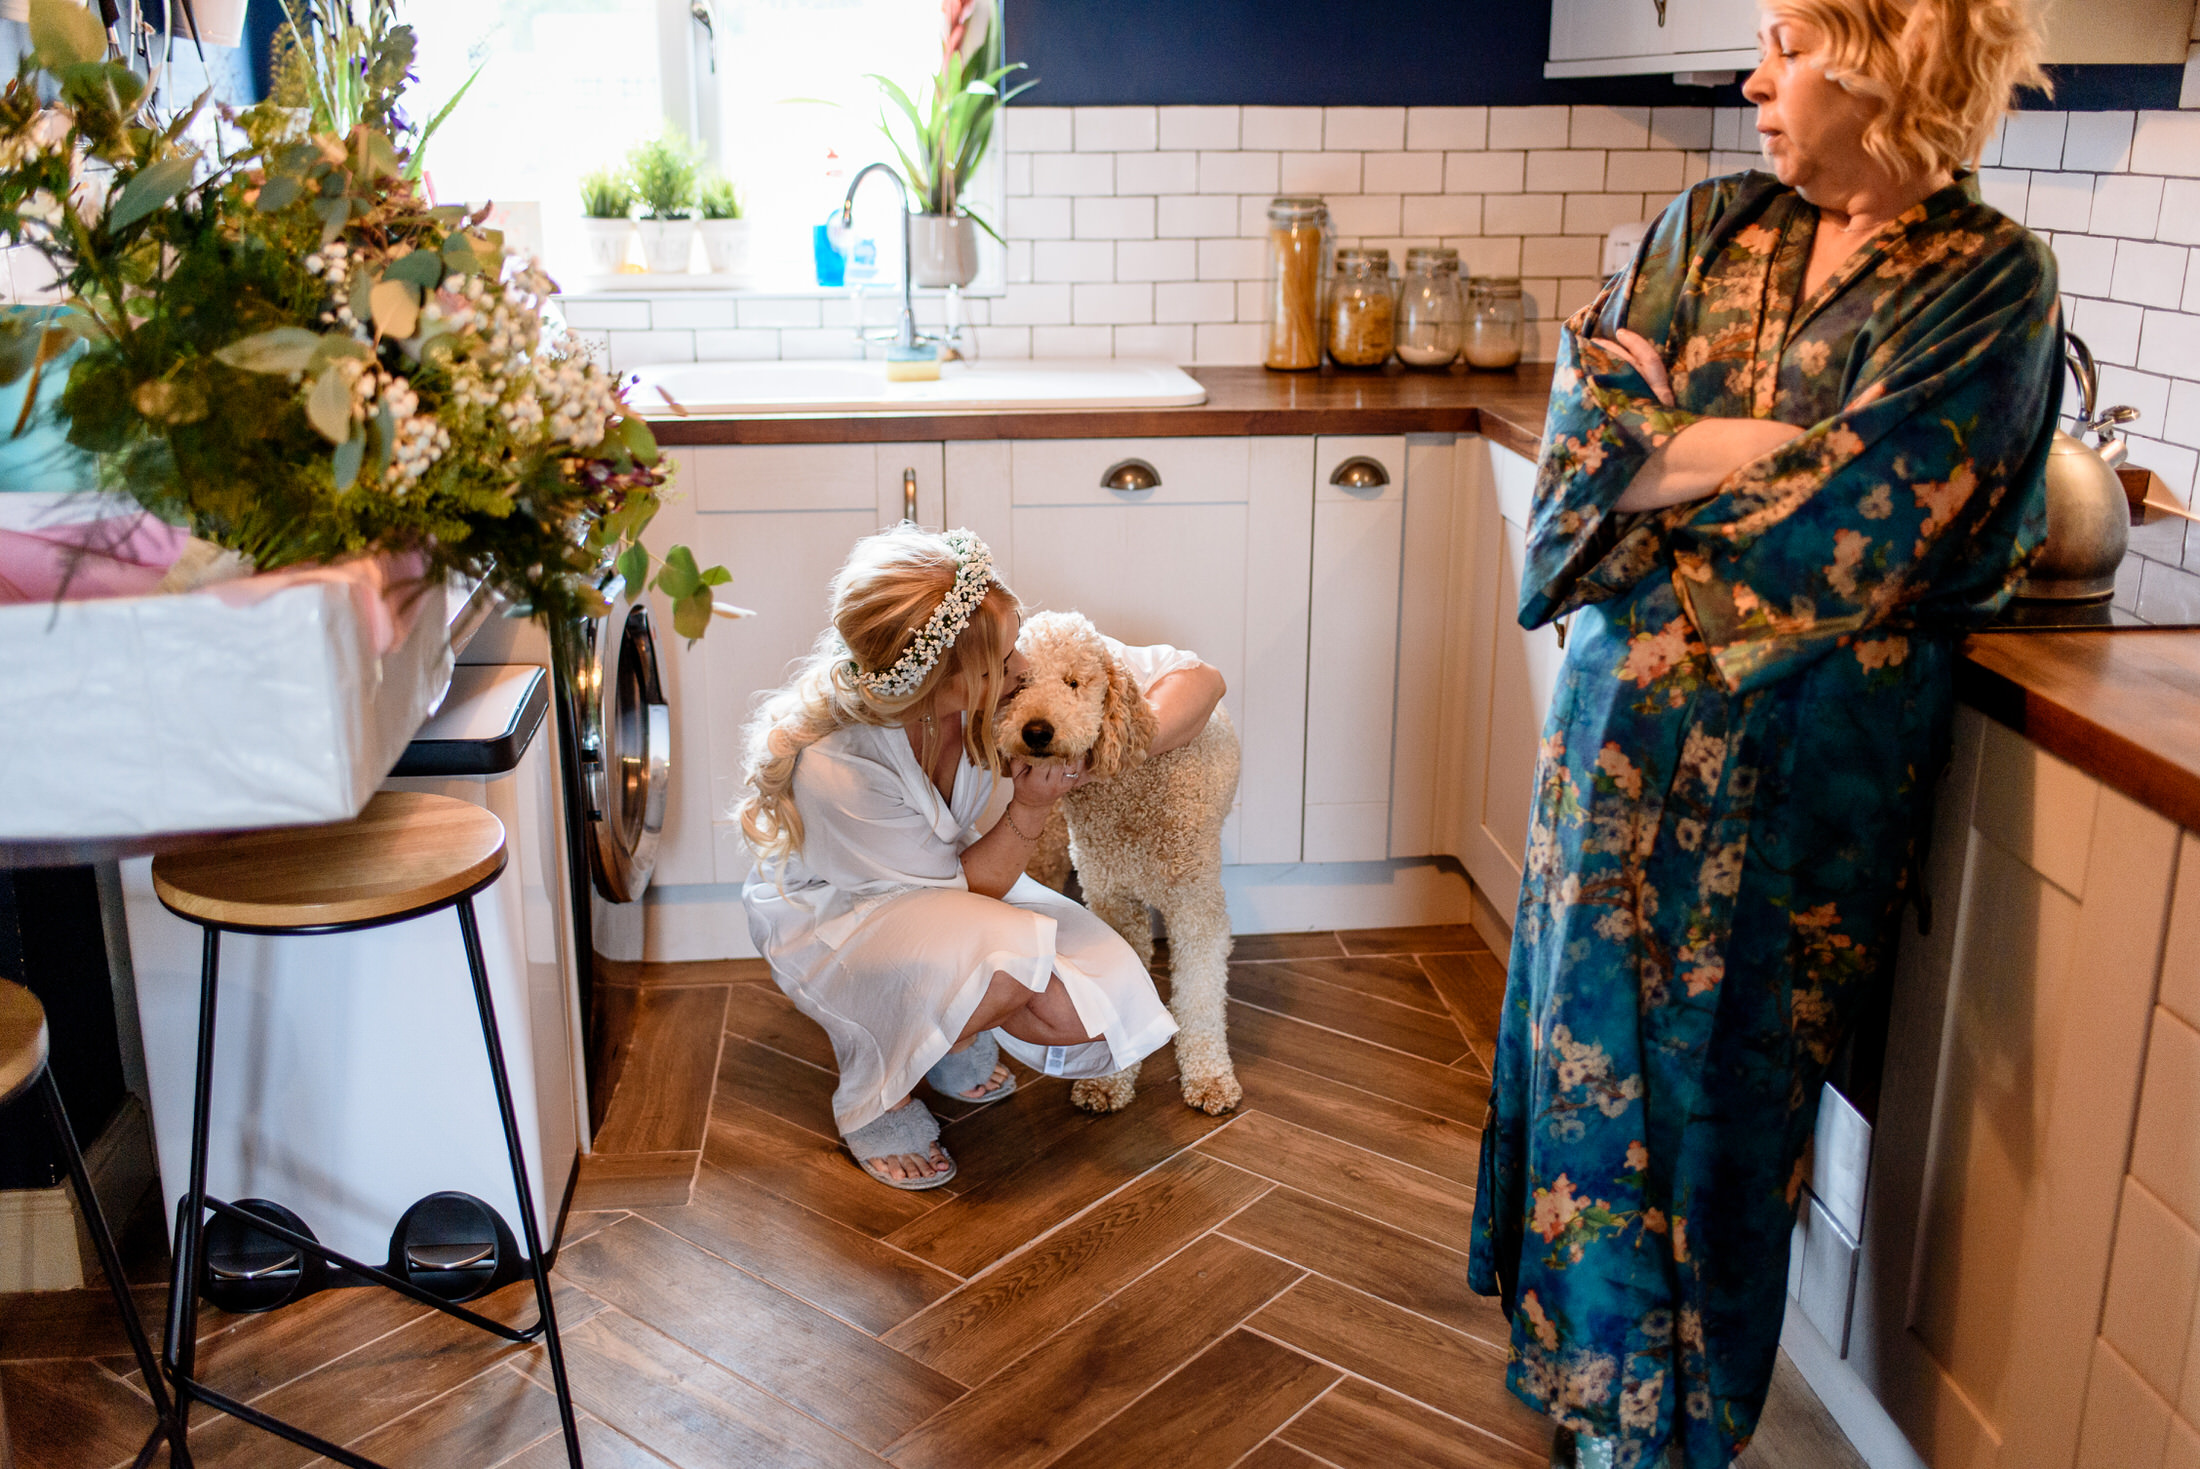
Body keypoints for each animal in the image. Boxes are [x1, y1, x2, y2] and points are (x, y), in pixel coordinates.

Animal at [998, 606, 1240, 1112]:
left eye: (1073, 682)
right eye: (1020, 683)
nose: (1036, 731)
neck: (1130, 792)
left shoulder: (1197, 907)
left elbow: (1200, 998)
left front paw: (1209, 1078)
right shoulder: (1112, 899)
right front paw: (1109, 1081)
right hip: (1048, 850)